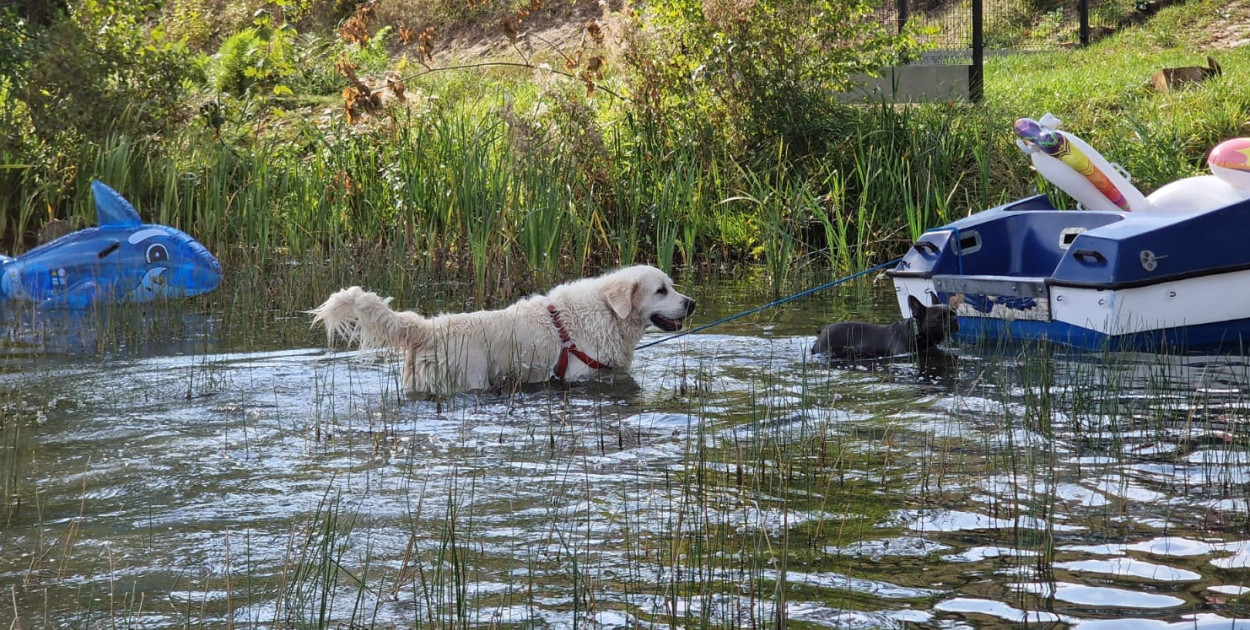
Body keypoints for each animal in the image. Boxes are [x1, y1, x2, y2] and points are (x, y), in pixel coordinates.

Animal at [308, 265, 700, 395]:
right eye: (661, 291)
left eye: (672, 285)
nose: (691, 304)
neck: (607, 310)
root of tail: (428, 329)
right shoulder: (582, 375)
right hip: (469, 379)